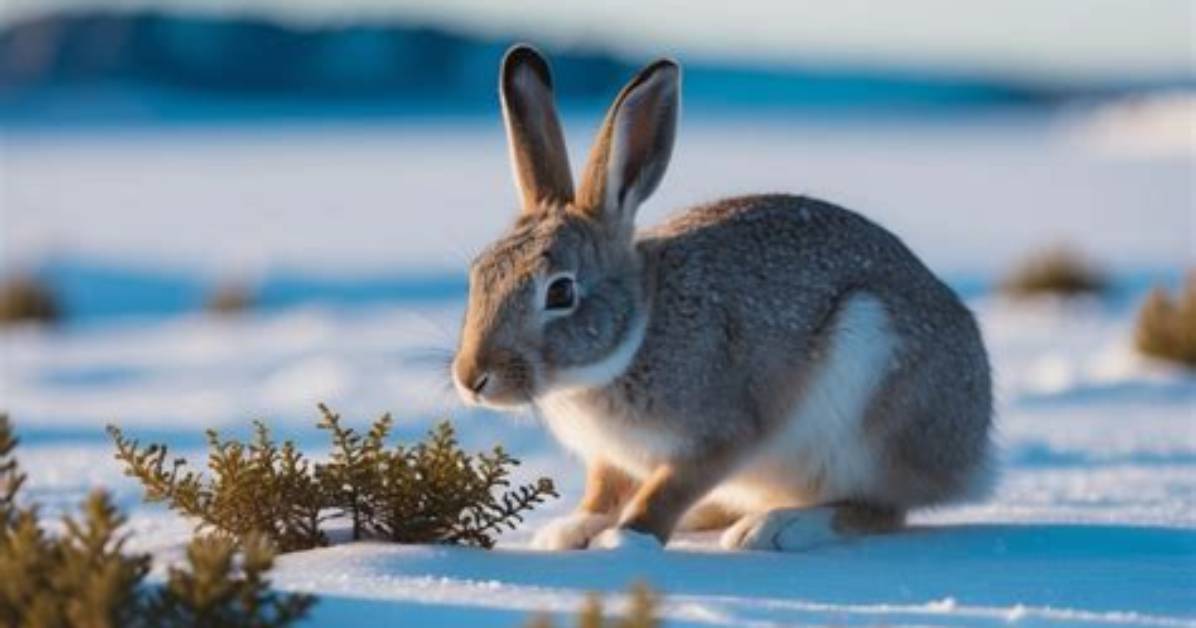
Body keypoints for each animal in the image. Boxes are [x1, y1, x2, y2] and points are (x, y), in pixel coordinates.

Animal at [452, 44, 994, 552]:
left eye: (561, 291)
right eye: (478, 274)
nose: (471, 378)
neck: (636, 335)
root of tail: (974, 449)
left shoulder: (718, 437)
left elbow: (667, 492)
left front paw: (626, 540)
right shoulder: (611, 460)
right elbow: (604, 492)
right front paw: (570, 530)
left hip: (871, 395)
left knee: (880, 508)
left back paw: (777, 528)